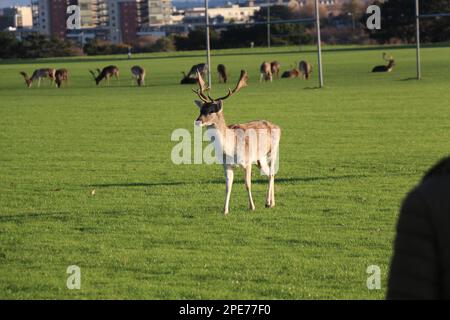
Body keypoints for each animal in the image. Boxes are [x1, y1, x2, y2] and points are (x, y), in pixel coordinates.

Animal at [193, 70, 282, 215]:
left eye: (211, 110)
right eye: (201, 110)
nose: (197, 121)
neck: (231, 149)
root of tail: (278, 127)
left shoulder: (247, 162)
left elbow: (247, 184)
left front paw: (252, 206)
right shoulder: (226, 165)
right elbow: (228, 186)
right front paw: (225, 210)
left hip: (273, 150)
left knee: (271, 172)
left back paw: (269, 202)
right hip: (260, 159)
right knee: (271, 173)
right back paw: (270, 202)